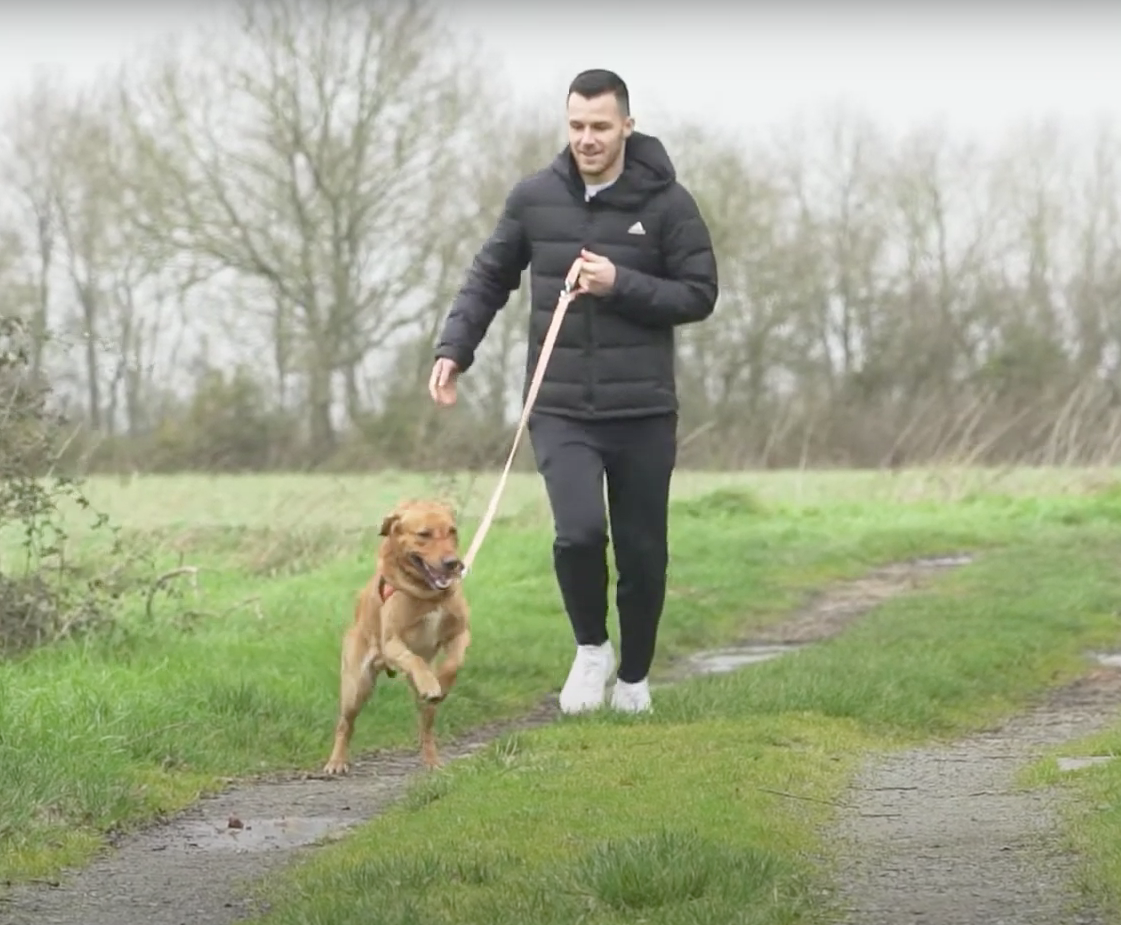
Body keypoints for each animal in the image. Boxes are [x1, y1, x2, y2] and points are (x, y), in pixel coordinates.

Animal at [322, 497, 470, 771]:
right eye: (424, 534)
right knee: (345, 724)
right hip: (356, 686)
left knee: (426, 728)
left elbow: (453, 663)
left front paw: (441, 683)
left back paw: (432, 760)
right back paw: (337, 761)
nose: (453, 564)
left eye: (452, 531)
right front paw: (430, 681)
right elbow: (414, 658)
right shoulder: (391, 643)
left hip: (419, 704)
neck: (428, 594)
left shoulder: (460, 633)